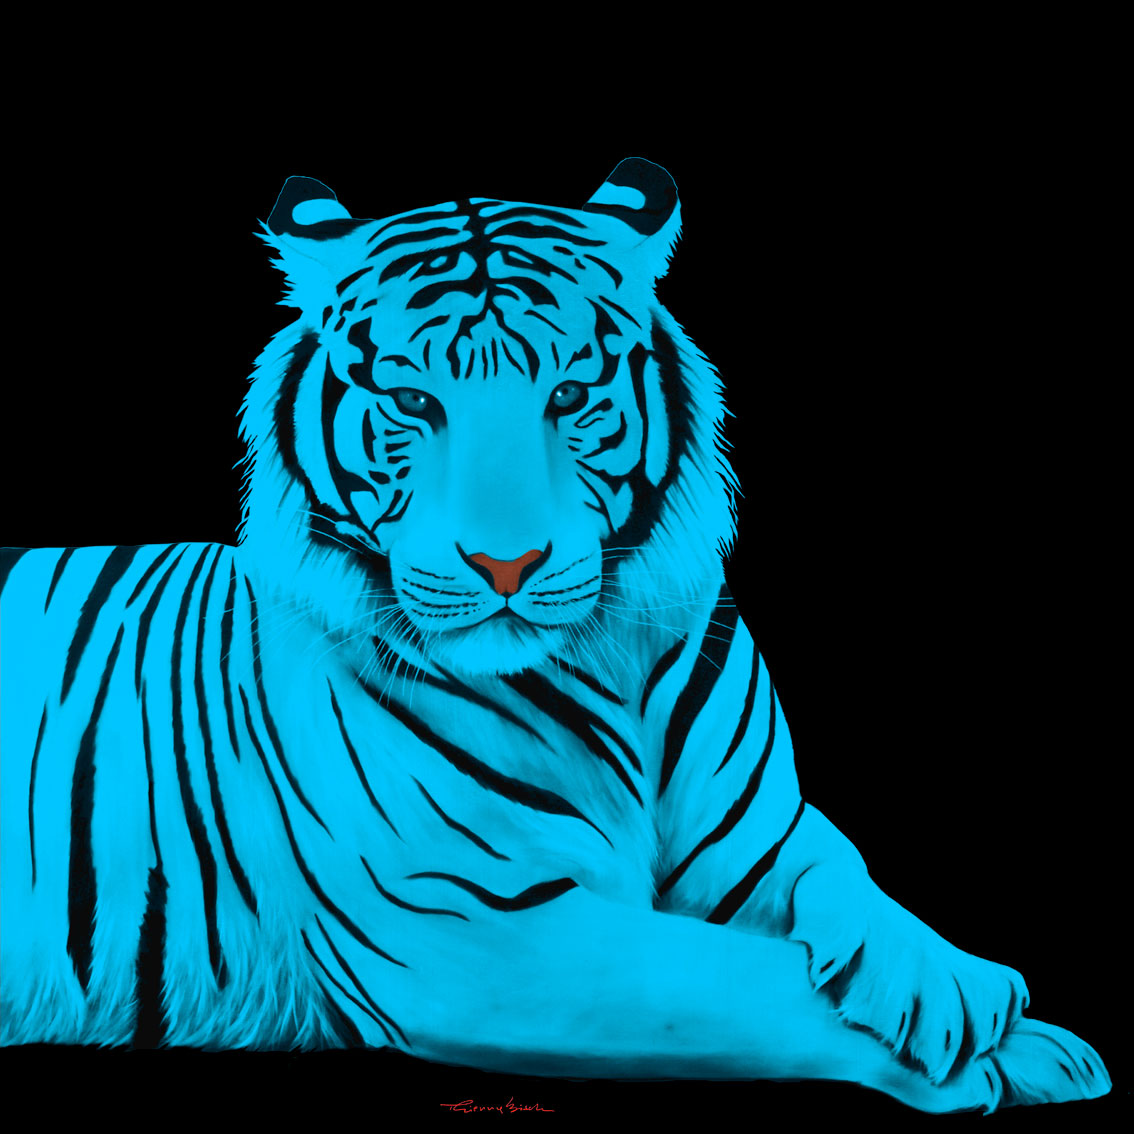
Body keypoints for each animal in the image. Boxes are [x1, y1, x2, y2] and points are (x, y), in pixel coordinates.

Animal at [0, 159, 1111, 1114]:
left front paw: (958, 986)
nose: (506, 567)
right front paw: (984, 1052)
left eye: (570, 395)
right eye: (415, 400)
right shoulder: (467, 932)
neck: (613, 667)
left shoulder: (756, 838)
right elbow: (742, 978)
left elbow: (843, 871)